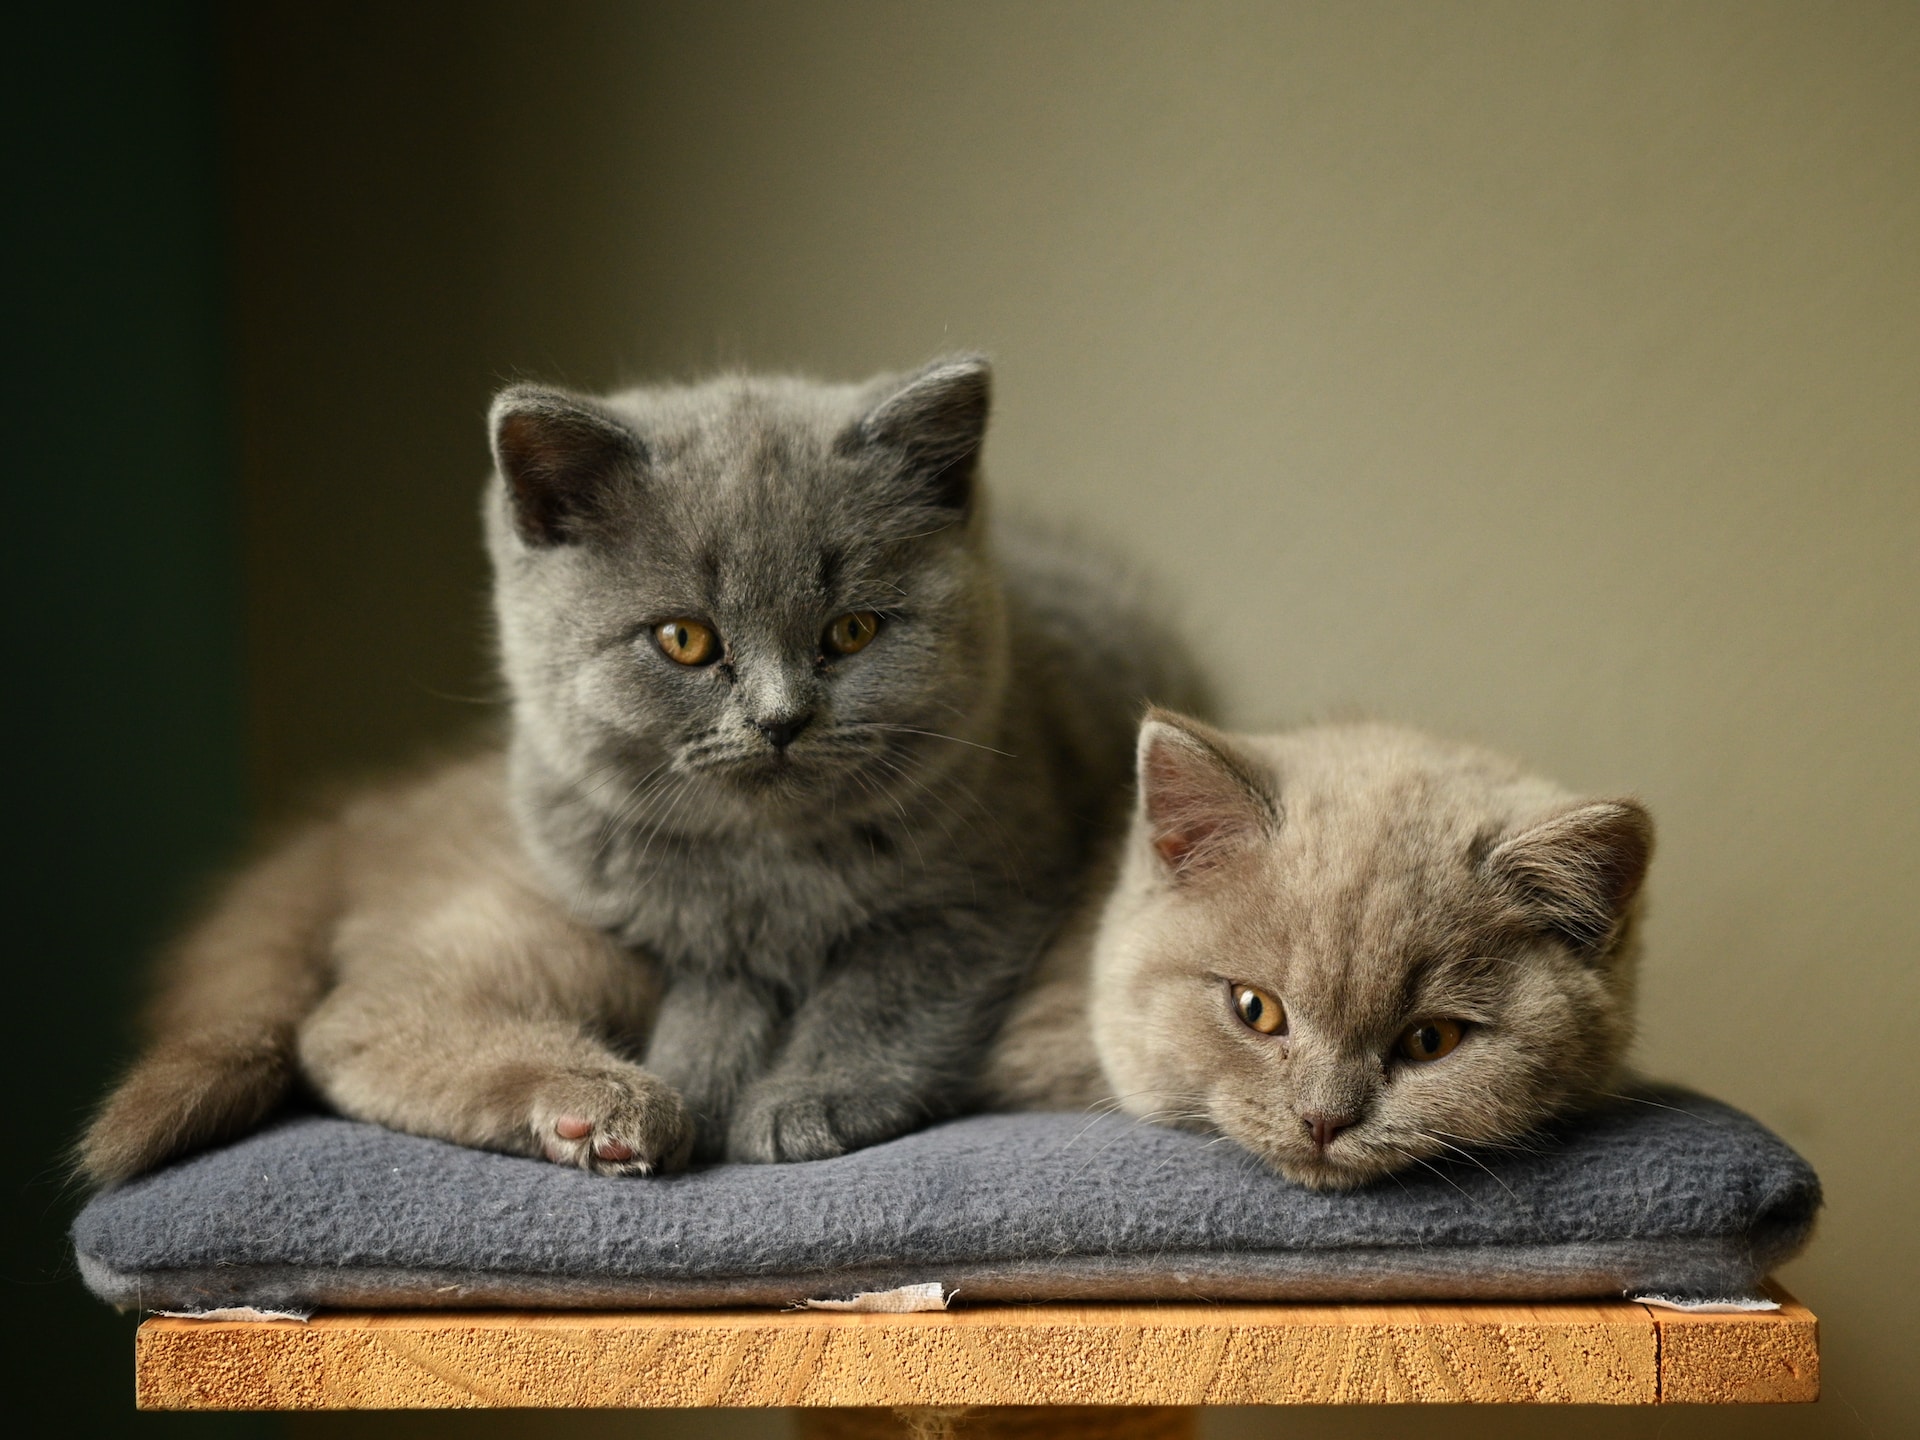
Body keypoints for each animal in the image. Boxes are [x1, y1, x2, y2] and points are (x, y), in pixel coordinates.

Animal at [93, 359, 1198, 1182]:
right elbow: (716, 996)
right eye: (684, 639)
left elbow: (882, 992)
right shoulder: (660, 917)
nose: (782, 719)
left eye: (851, 631)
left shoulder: (984, 889)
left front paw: (809, 1101)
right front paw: (703, 1089)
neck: (770, 863)